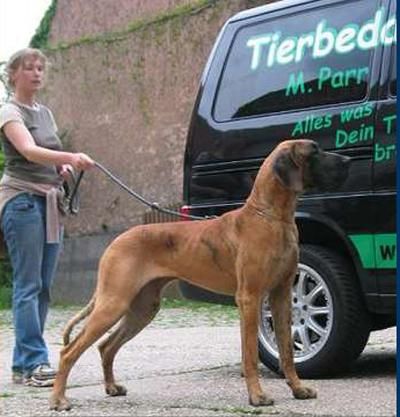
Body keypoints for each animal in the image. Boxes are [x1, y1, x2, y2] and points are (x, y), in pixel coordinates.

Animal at [50, 139, 350, 411]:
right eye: (314, 151)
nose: (348, 160)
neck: (271, 217)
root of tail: (116, 241)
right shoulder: (250, 298)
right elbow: (250, 355)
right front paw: (256, 396)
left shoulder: (282, 295)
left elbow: (287, 349)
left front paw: (298, 389)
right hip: (114, 302)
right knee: (69, 351)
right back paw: (59, 399)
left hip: (142, 308)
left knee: (106, 346)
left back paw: (111, 387)